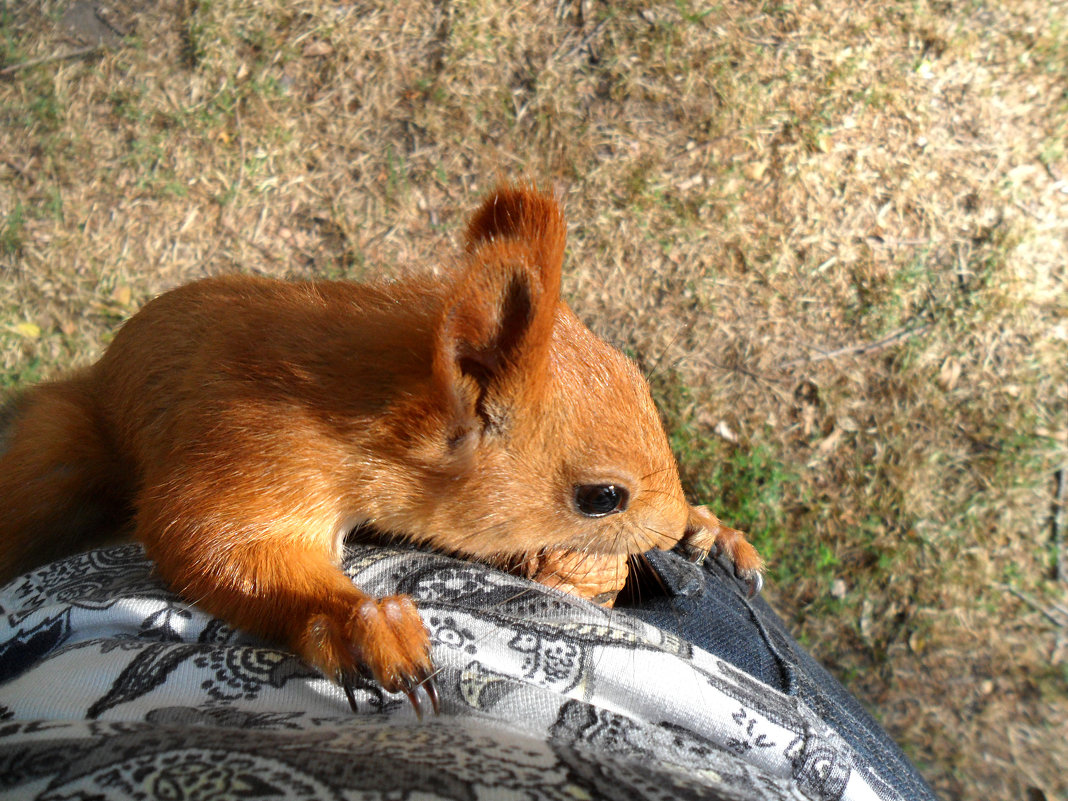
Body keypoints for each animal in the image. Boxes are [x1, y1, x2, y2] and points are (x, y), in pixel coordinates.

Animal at [2, 186, 768, 713]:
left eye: (641, 379)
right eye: (603, 497)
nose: (664, 530)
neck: (365, 393)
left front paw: (709, 527)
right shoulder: (255, 447)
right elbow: (212, 536)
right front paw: (364, 626)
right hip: (58, 462)